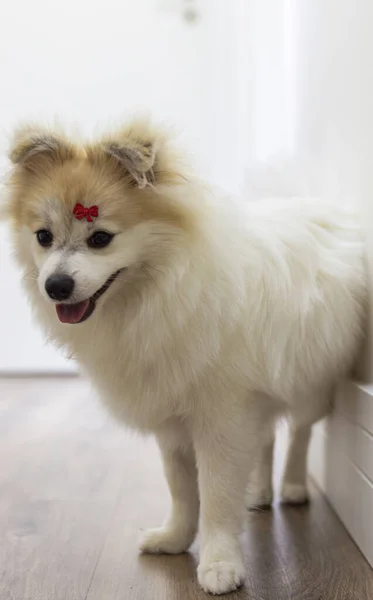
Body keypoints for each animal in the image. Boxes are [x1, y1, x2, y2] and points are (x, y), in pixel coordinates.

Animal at [4, 120, 366, 596]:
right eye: (43, 237)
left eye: (101, 238)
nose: (56, 285)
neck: (155, 296)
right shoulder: (176, 414)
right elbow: (180, 488)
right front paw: (175, 538)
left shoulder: (221, 418)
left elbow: (215, 495)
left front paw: (219, 564)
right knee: (267, 436)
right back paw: (258, 492)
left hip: (308, 382)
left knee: (301, 433)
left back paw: (290, 486)